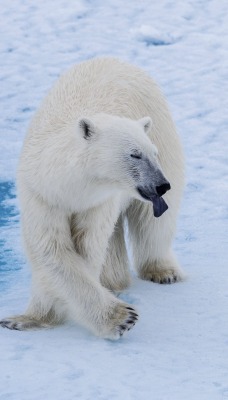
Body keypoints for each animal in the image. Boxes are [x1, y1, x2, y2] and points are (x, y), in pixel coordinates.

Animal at [0, 57, 184, 340]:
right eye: (134, 154)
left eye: (151, 153)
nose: (161, 185)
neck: (69, 186)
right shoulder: (42, 195)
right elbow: (51, 251)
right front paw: (27, 319)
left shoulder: (97, 202)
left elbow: (86, 249)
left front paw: (121, 318)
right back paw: (114, 282)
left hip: (163, 132)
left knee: (152, 223)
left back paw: (162, 272)